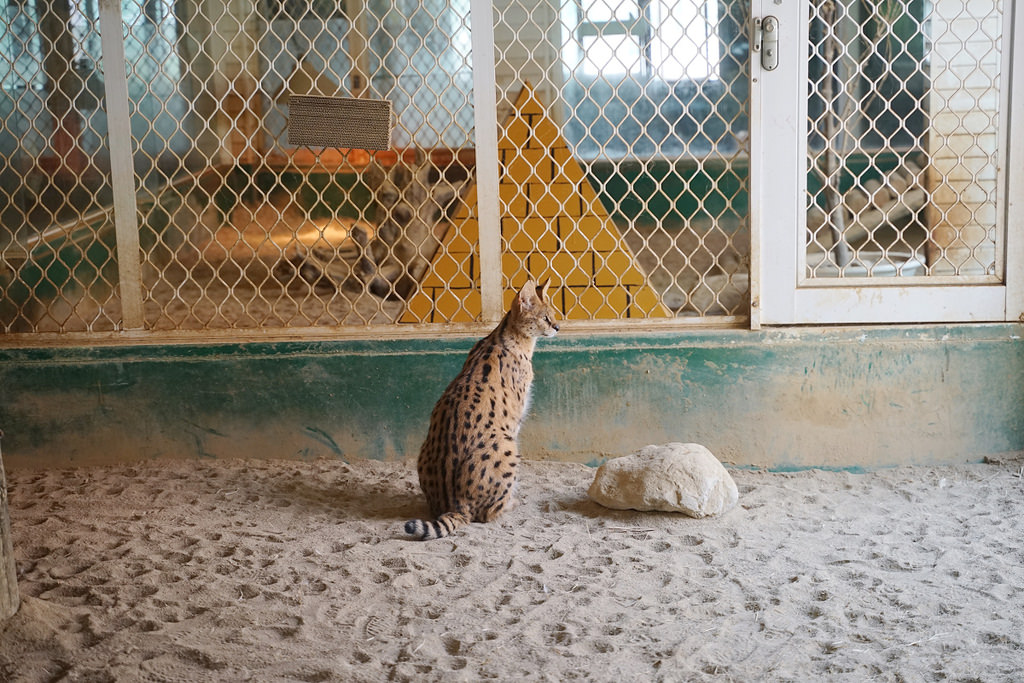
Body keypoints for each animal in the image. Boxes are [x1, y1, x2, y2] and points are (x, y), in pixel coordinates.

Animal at [403, 280, 561, 540]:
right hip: (508, 446)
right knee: (486, 514)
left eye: (554, 314)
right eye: (545, 318)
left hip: (424, 451)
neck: (506, 336)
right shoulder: (515, 419)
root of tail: (456, 505)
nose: (558, 327)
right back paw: (511, 503)